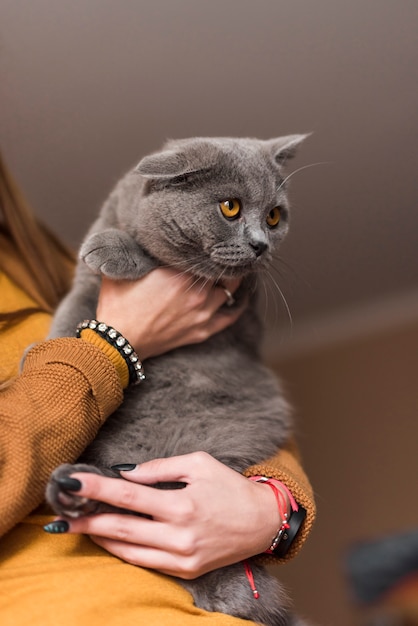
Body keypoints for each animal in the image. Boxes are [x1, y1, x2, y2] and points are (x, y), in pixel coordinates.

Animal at [46, 136, 310, 624]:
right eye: (230, 207)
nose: (260, 245)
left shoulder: (244, 305)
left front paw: (121, 252)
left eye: (274, 216)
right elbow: (74, 309)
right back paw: (75, 490)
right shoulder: (87, 280)